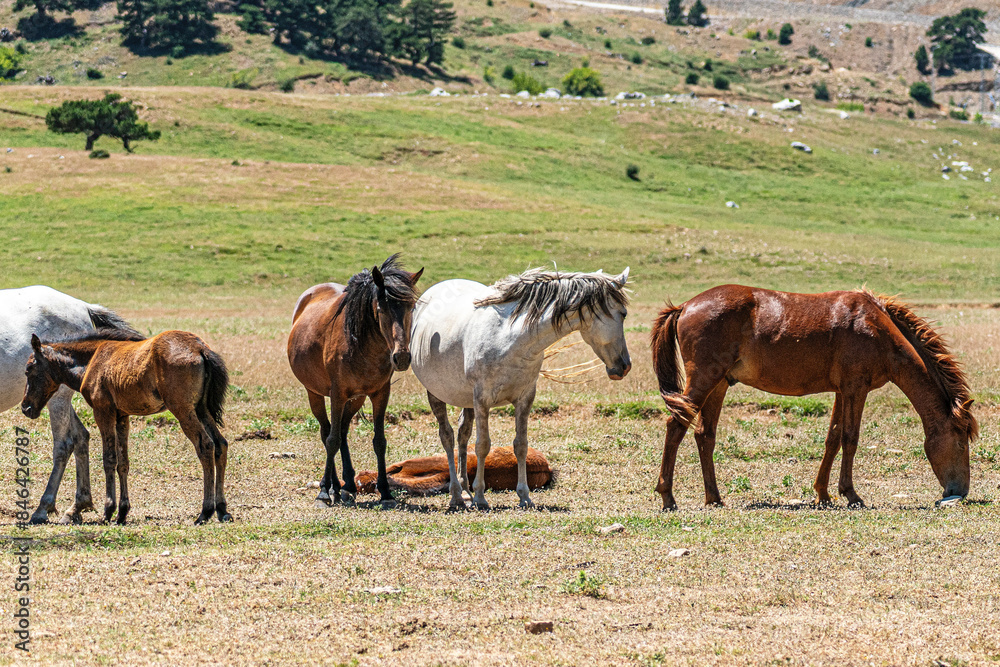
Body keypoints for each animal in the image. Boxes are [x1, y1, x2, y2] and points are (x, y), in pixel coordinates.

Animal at [0, 285, 139, 524]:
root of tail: (83, 306)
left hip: (58, 397)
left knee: (64, 444)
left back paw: (43, 508)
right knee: (81, 436)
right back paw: (77, 506)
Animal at [21, 330, 231, 525]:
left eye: (29, 369)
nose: (26, 407)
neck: (92, 360)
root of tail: (200, 348)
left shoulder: (103, 412)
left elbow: (109, 459)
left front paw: (108, 511)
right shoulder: (122, 416)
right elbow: (123, 463)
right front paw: (122, 512)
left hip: (182, 410)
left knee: (206, 445)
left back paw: (205, 512)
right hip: (201, 409)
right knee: (220, 444)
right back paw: (222, 509)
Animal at [287, 254, 423, 508]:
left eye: (411, 307)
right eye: (381, 308)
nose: (401, 357)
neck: (360, 344)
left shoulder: (380, 393)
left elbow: (379, 441)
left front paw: (386, 492)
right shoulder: (337, 394)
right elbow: (331, 440)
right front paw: (323, 493)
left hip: (356, 399)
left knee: (342, 432)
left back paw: (347, 485)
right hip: (315, 393)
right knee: (327, 433)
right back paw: (332, 487)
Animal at [411, 267, 632, 510]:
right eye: (623, 313)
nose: (625, 366)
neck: (510, 338)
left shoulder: (525, 398)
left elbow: (521, 445)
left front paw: (524, 496)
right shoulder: (482, 400)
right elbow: (483, 445)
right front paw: (481, 497)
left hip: (466, 400)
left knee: (462, 436)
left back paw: (466, 492)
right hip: (436, 394)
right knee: (448, 437)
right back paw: (457, 496)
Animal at [650, 285, 978, 511]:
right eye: (961, 444)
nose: (959, 492)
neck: (876, 329)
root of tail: (685, 306)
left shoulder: (841, 391)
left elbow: (833, 438)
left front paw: (822, 493)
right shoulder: (855, 389)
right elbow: (850, 438)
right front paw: (851, 494)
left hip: (718, 385)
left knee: (705, 435)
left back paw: (714, 498)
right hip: (702, 381)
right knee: (675, 426)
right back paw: (668, 497)